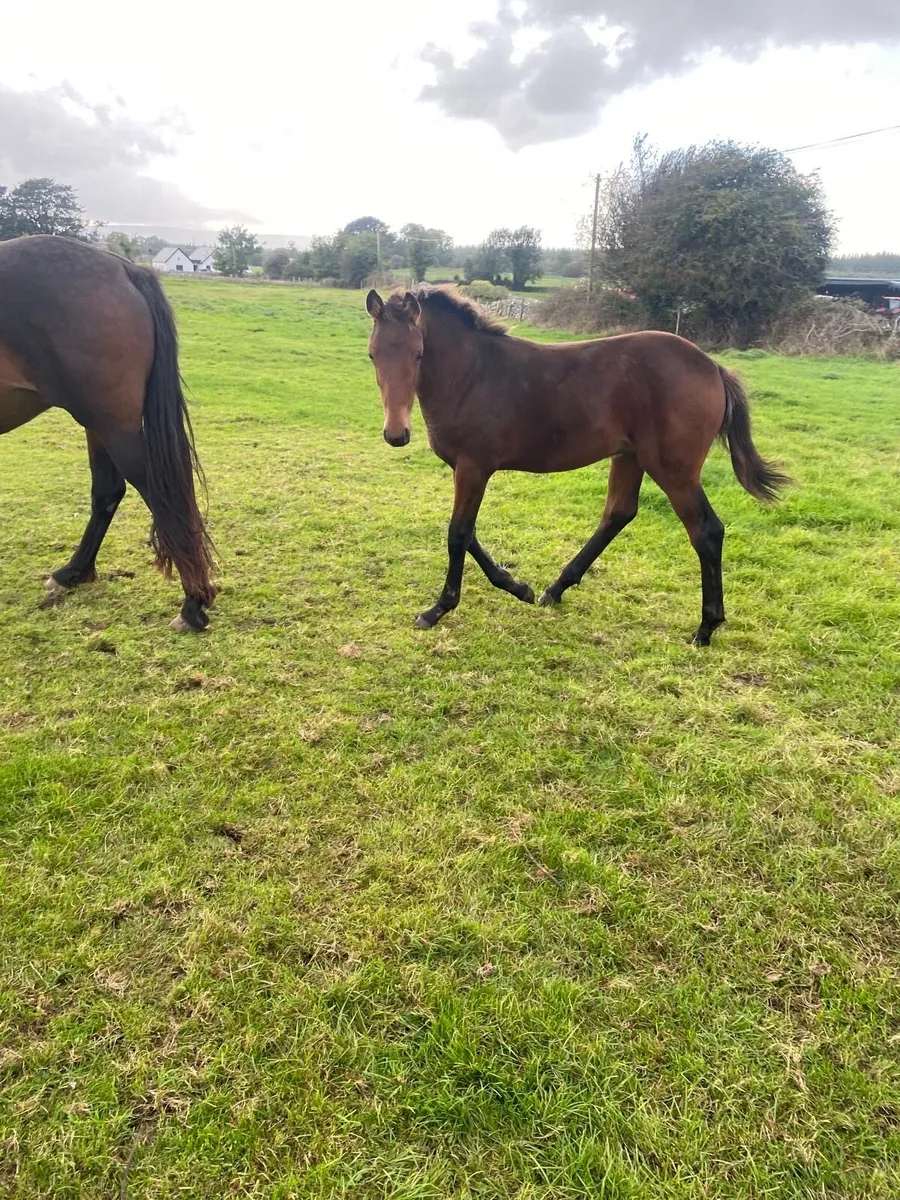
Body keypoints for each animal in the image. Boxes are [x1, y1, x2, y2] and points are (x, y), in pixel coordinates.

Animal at [0, 236, 215, 631]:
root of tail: (125, 269)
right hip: (97, 422)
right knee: (108, 491)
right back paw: (72, 573)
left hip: (112, 424)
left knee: (162, 495)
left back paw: (193, 603)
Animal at [365, 286, 788, 646]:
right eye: (372, 354)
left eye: (418, 354)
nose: (397, 434)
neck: (471, 374)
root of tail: (714, 367)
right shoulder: (467, 470)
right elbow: (469, 535)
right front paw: (519, 588)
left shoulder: (474, 467)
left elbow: (458, 535)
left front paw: (437, 609)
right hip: (629, 457)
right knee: (618, 513)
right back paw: (555, 589)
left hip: (675, 470)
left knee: (706, 530)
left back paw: (706, 627)